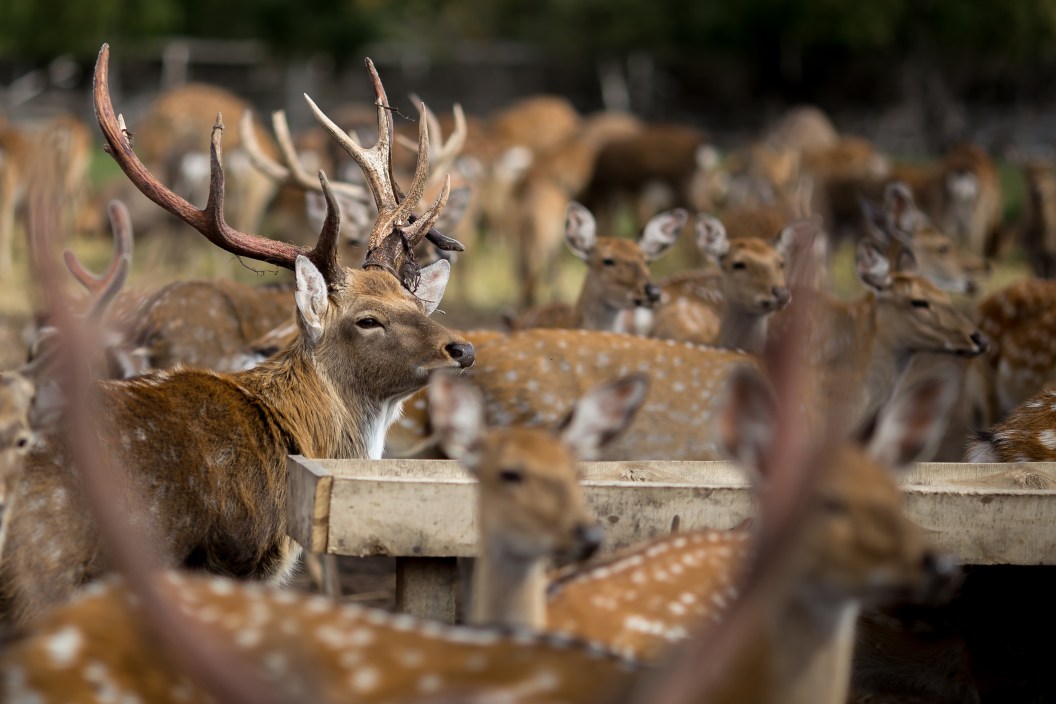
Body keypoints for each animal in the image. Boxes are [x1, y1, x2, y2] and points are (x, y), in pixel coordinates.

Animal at [0, 45, 473, 629]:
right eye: (367, 319)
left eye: (412, 300)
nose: (462, 348)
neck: (295, 437)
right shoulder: (236, 561)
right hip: (44, 567)